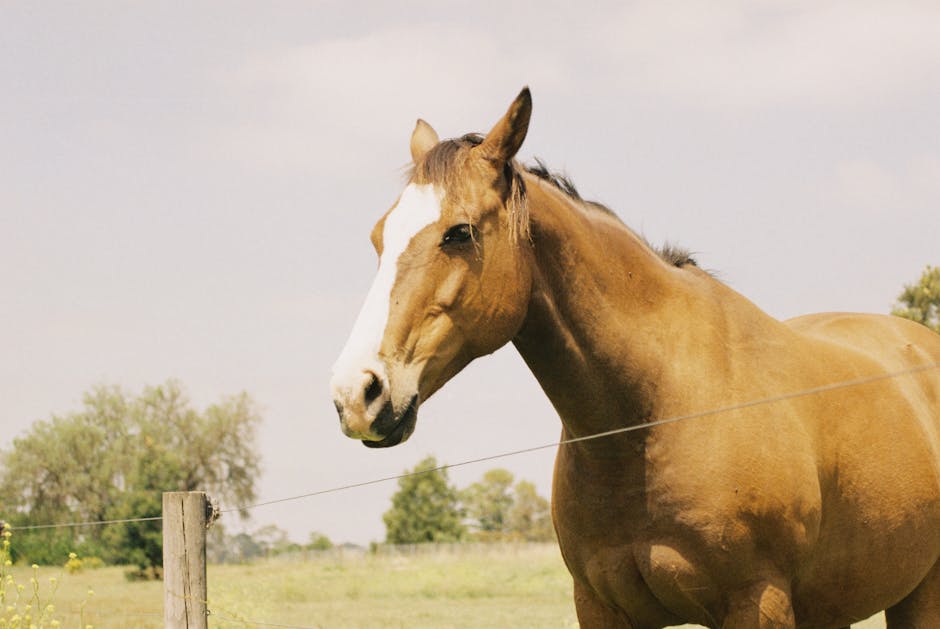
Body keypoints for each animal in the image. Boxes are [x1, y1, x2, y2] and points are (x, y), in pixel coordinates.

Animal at [328, 89, 940, 628]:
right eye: (379, 237)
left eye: (459, 232)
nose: (357, 393)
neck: (656, 410)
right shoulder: (599, 606)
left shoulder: (758, 602)